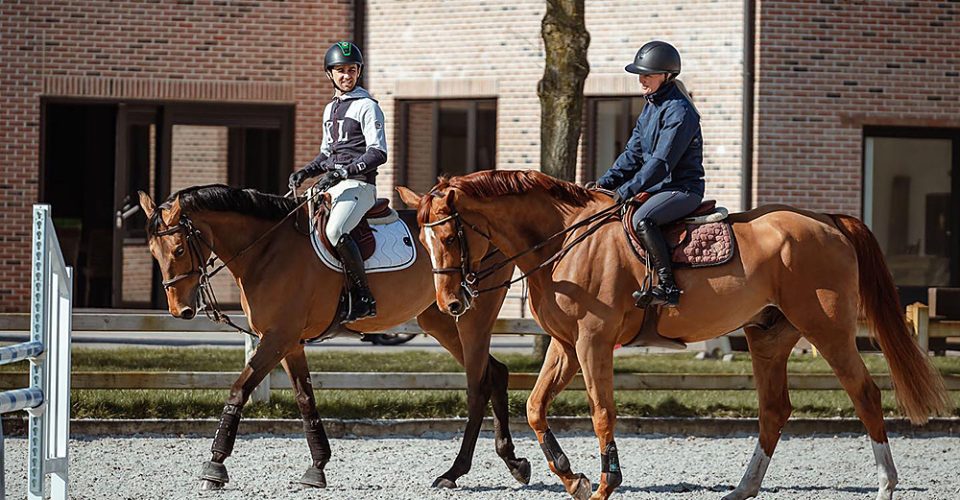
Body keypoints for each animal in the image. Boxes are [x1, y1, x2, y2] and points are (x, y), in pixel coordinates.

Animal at [137, 186, 532, 490]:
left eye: (179, 250)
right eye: (153, 252)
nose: (180, 310)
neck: (267, 249)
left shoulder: (277, 337)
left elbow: (240, 389)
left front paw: (215, 466)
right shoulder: (289, 341)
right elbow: (305, 399)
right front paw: (318, 467)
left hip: (471, 317)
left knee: (478, 383)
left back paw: (455, 472)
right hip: (440, 317)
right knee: (495, 373)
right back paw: (513, 462)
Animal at [400, 171, 952, 500]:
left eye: (448, 235)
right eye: (422, 238)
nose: (451, 304)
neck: (565, 243)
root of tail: (828, 221)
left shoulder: (593, 341)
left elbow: (602, 412)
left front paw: (605, 481)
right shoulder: (565, 344)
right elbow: (535, 407)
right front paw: (570, 474)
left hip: (828, 329)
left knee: (865, 394)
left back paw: (886, 483)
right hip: (768, 337)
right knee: (775, 411)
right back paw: (742, 489)